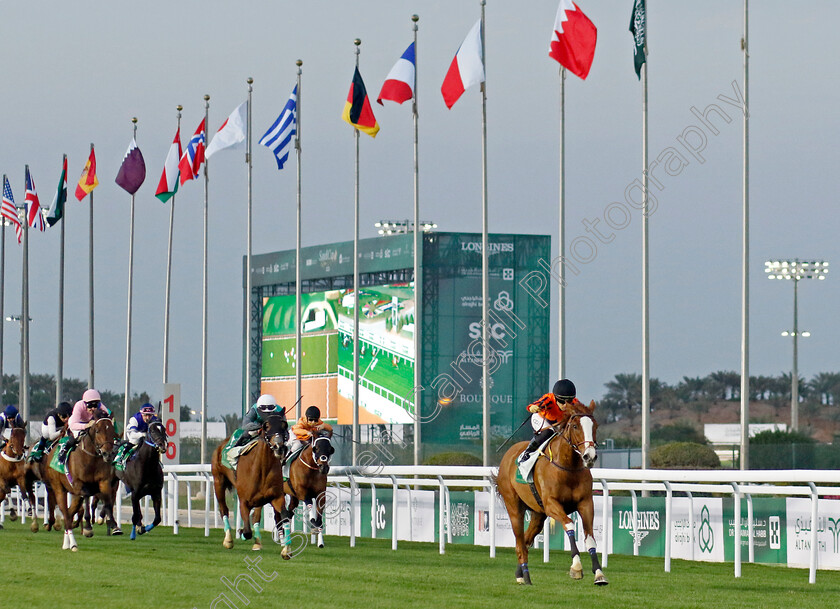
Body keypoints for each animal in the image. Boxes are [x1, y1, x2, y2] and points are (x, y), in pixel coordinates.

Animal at [44, 418, 118, 552]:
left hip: (75, 496)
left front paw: (114, 526)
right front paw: (88, 528)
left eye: (112, 431)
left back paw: (66, 543)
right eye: (98, 431)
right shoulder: (80, 484)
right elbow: (87, 499)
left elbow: (108, 502)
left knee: (69, 513)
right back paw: (73, 544)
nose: (108, 454)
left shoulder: (104, 483)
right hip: (59, 489)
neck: (91, 458)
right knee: (66, 514)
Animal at [210, 414, 288, 552]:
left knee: (257, 517)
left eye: (284, 425)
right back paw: (228, 540)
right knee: (223, 509)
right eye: (266, 426)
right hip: (218, 481)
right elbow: (247, 531)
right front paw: (241, 532)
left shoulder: (275, 497)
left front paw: (285, 548)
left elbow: (283, 515)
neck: (262, 469)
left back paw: (258, 542)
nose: (279, 447)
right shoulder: (244, 501)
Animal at [496, 400, 608, 584]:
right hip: (514, 507)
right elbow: (569, 524)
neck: (568, 468)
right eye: (575, 426)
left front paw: (599, 574)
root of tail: (508, 455)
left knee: (526, 540)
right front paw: (576, 567)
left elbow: (590, 537)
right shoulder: (551, 504)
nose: (589, 456)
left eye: (595, 426)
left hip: (538, 514)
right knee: (519, 542)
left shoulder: (585, 503)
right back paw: (526, 577)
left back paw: (520, 573)